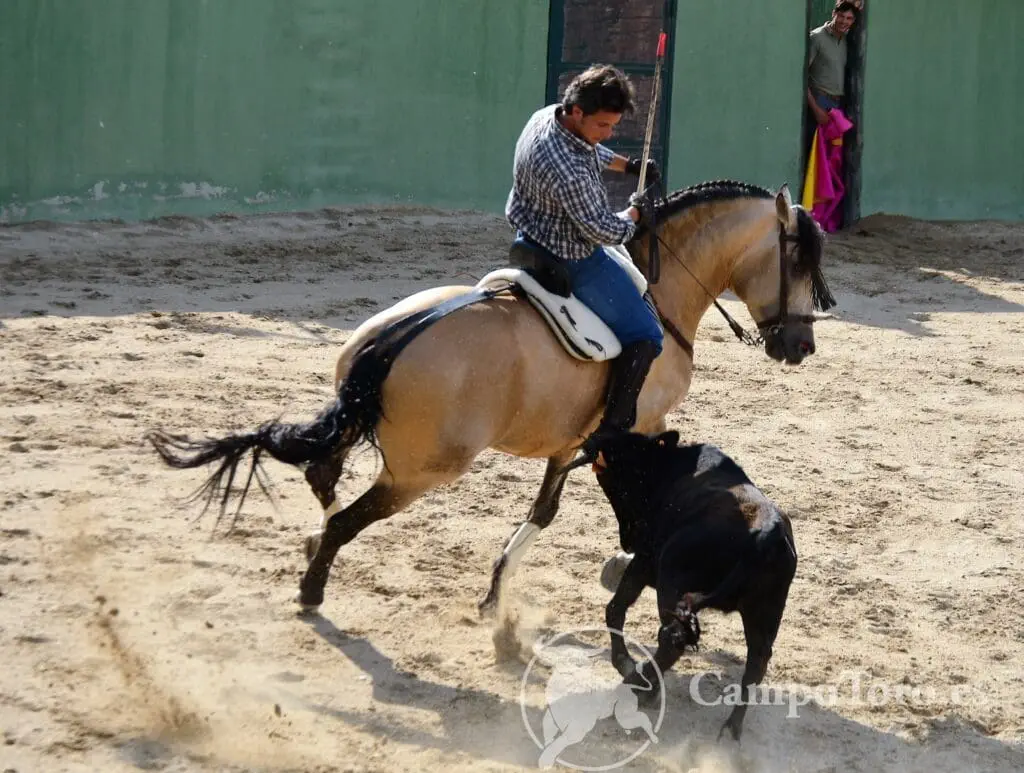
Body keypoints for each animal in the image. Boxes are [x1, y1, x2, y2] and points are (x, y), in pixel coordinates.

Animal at [146, 180, 831, 618]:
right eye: (798, 258)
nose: (801, 345)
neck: (659, 296)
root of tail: (399, 335)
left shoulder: (571, 442)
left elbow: (546, 511)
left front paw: (497, 590)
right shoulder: (637, 429)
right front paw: (618, 560)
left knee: (323, 474)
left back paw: (313, 540)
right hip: (423, 470)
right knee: (346, 517)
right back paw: (312, 589)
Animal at [589, 432, 794, 741]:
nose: (590, 438)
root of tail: (765, 533)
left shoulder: (645, 561)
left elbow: (616, 608)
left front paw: (625, 662)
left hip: (671, 578)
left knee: (672, 639)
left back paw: (638, 685)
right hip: (766, 612)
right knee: (757, 661)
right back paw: (731, 727)